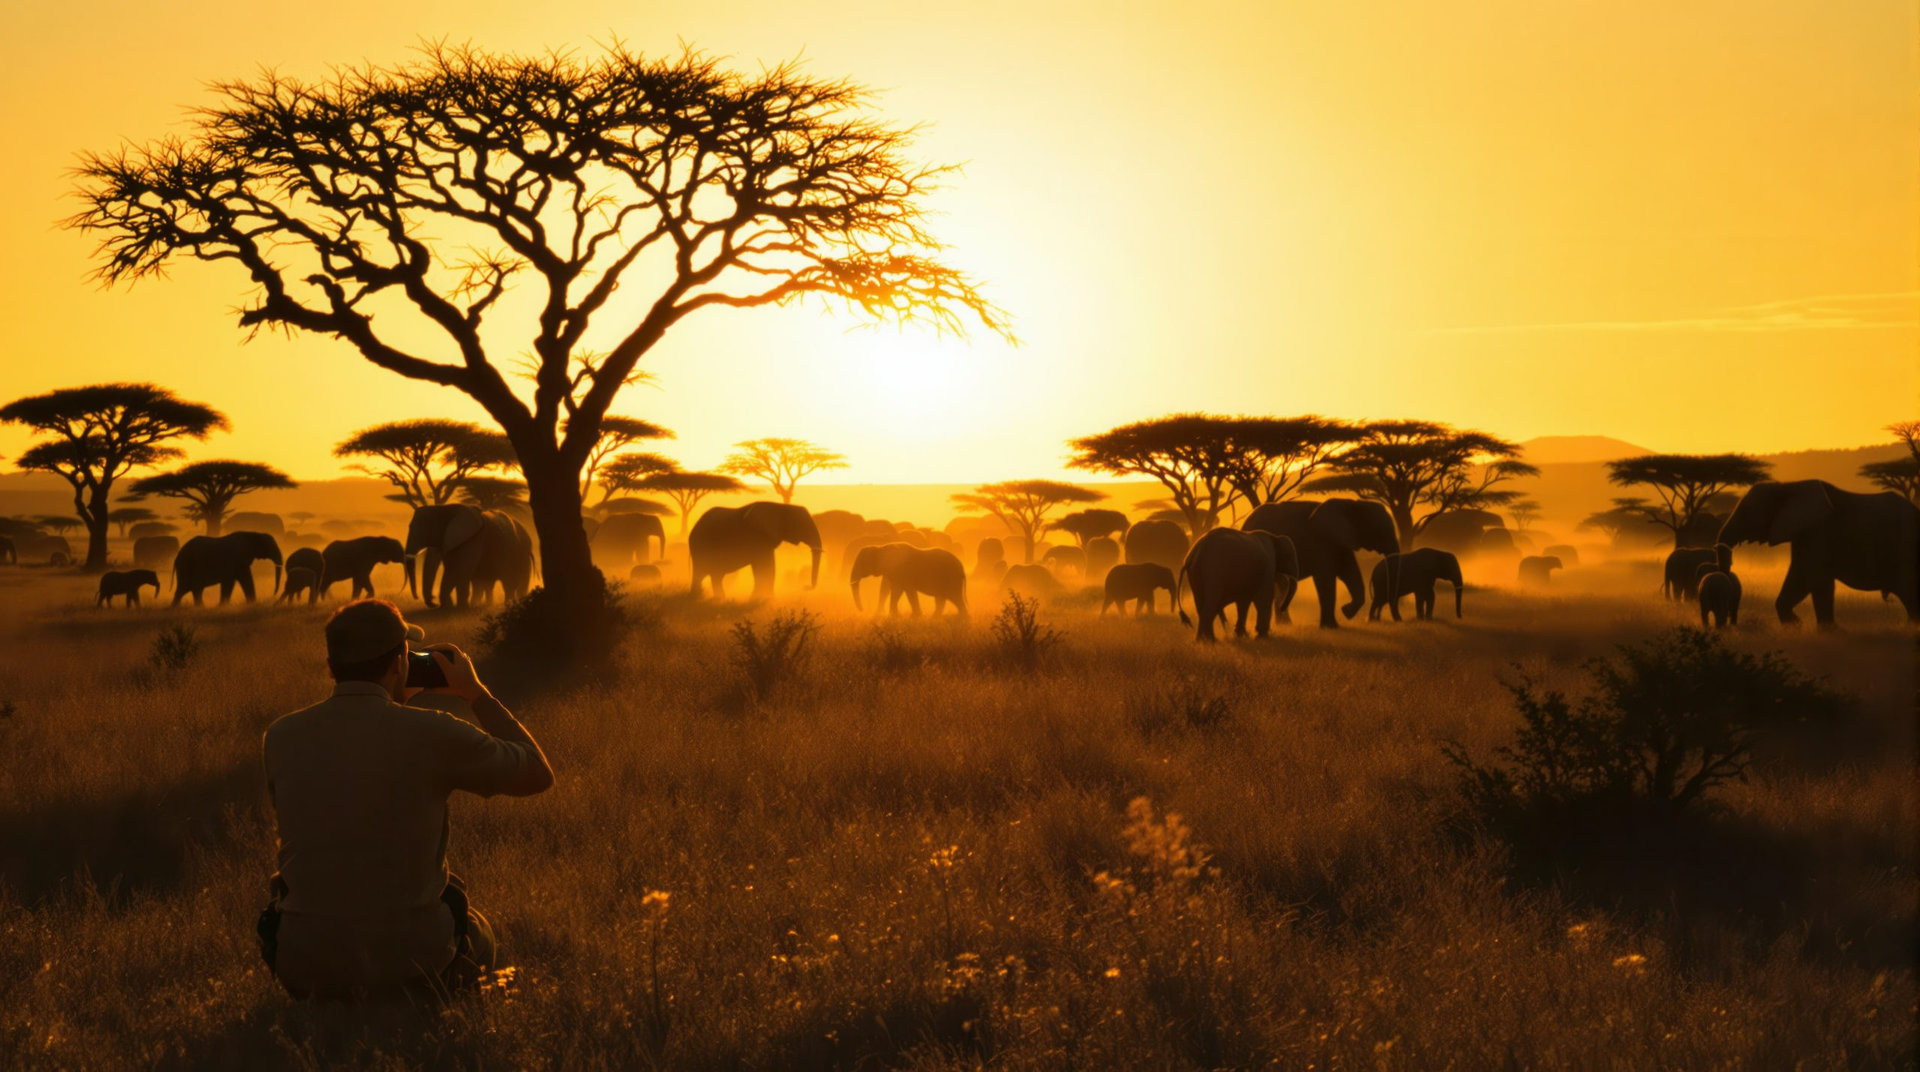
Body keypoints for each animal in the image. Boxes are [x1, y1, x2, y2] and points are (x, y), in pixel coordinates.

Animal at [688, 502, 822, 600]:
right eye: (804, 526)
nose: (805, 587)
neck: (781, 507)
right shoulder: (758, 538)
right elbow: (762, 567)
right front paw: (759, 597)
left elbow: (770, 565)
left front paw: (766, 597)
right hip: (701, 547)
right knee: (705, 573)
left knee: (713, 575)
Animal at [1244, 499, 1400, 628]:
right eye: (1380, 530)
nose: (1344, 608)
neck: (1351, 504)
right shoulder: (1322, 541)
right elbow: (1326, 578)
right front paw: (1332, 625)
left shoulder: (1341, 541)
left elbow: (1350, 573)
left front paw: (1345, 612)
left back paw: (1285, 624)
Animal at [1717, 479, 1920, 626]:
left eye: (1748, 513)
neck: (1787, 486)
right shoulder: (1804, 533)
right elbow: (1807, 580)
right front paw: (1800, 627)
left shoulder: (1818, 532)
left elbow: (1813, 578)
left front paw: (1816, 629)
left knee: (1909, 593)